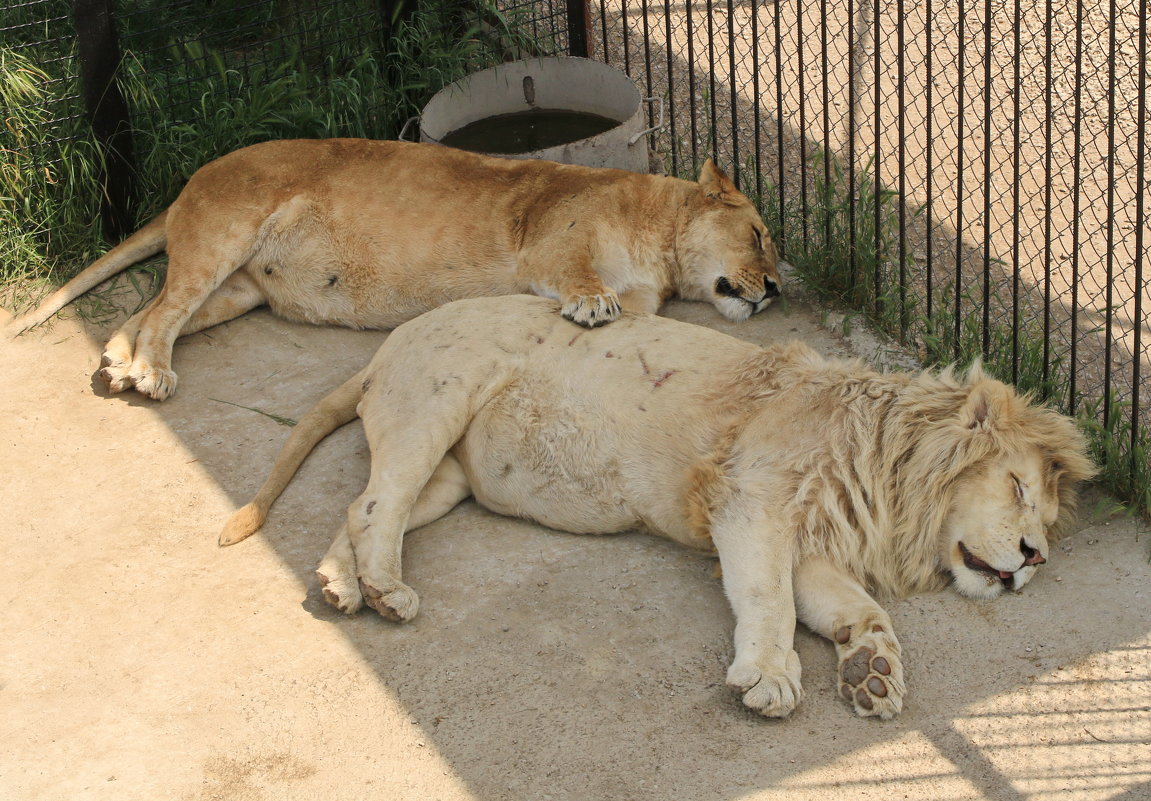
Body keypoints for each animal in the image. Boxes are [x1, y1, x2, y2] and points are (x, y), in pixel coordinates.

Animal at [219, 294, 1091, 718]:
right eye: (1018, 489)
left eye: (1044, 519)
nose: (1035, 558)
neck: (887, 467)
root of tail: (384, 347)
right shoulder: (748, 503)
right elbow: (767, 602)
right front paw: (769, 679)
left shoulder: (811, 540)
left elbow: (859, 608)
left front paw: (870, 671)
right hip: (436, 396)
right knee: (375, 509)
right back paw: (385, 591)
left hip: (447, 475)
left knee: (366, 506)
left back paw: (344, 585)